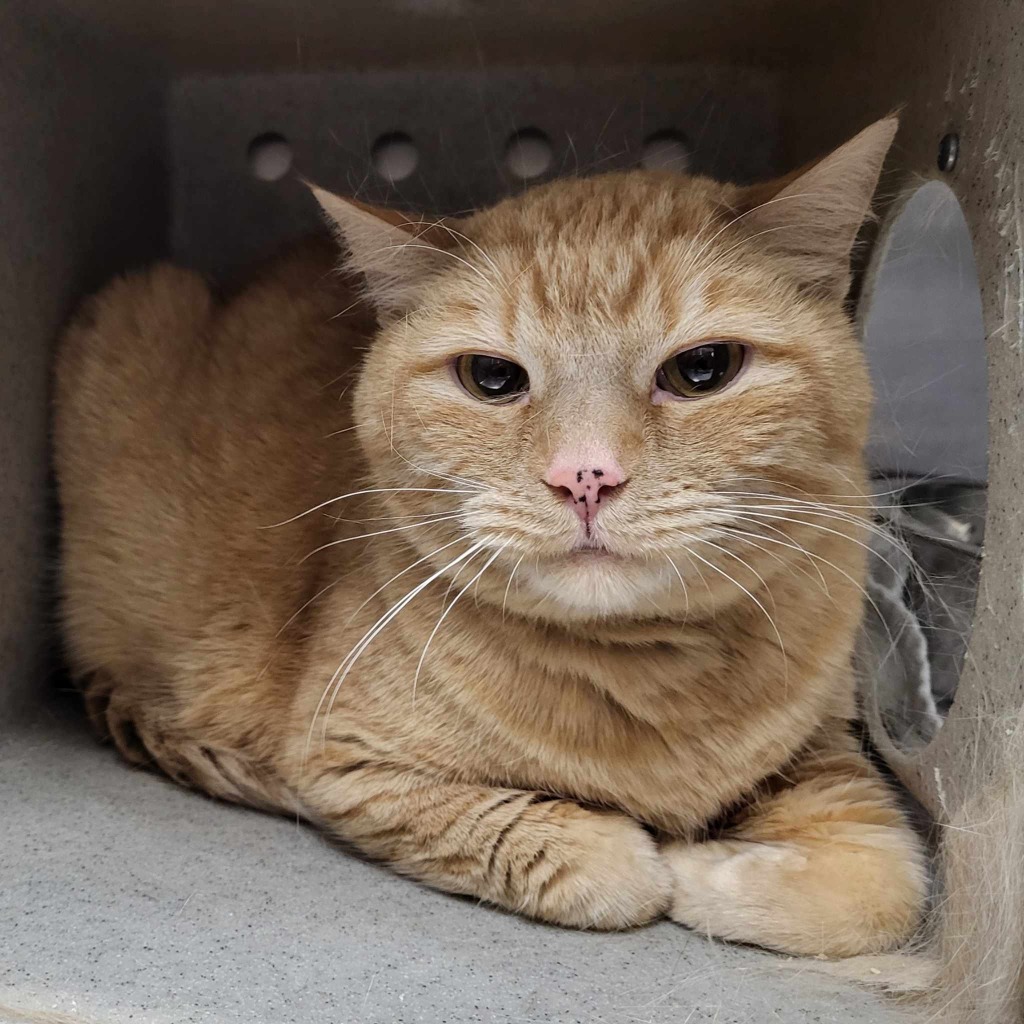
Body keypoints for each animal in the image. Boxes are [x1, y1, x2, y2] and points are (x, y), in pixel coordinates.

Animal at [51, 116, 925, 954]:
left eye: (704, 368)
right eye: (494, 379)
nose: (585, 476)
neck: (647, 681)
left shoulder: (828, 746)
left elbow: (883, 889)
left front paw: (713, 868)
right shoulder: (349, 763)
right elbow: (605, 864)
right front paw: (671, 857)